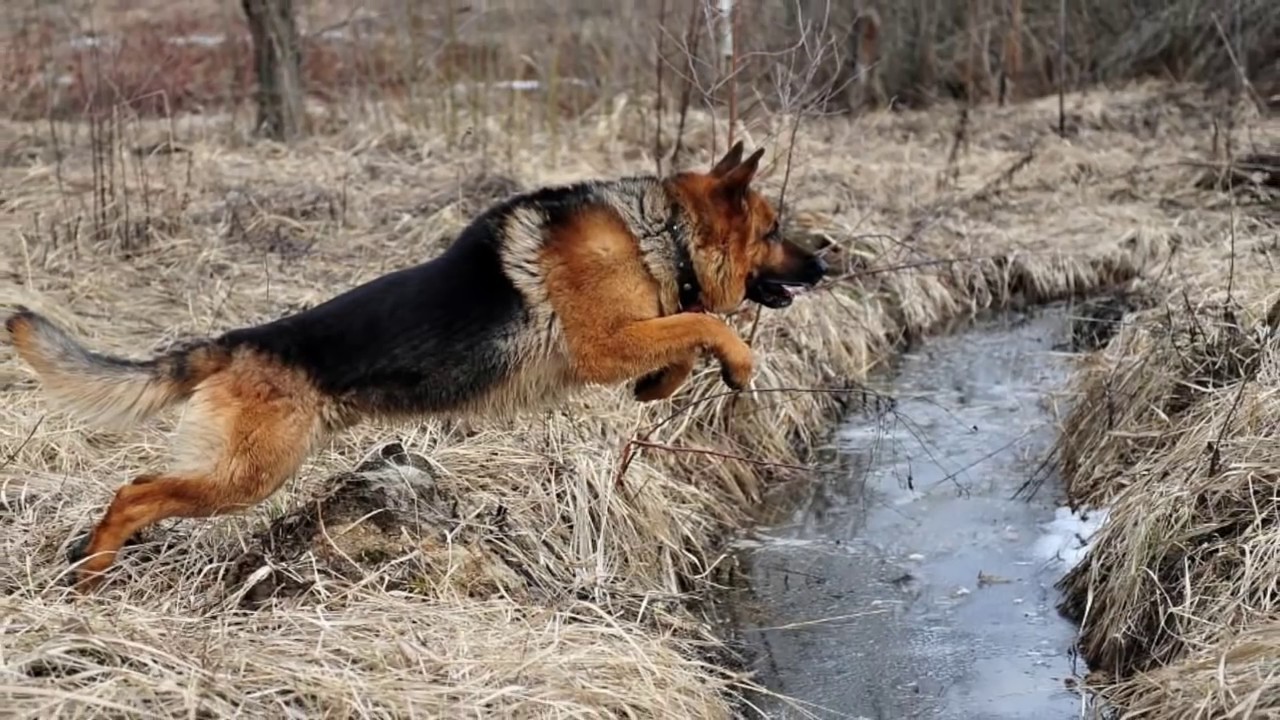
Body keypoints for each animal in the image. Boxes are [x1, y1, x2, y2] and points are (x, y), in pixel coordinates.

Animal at [5, 141, 824, 589]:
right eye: (774, 230)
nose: (828, 264)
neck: (661, 233)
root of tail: (238, 340)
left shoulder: (626, 336)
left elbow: (683, 336)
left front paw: (661, 383)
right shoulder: (603, 344)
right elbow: (706, 320)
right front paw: (736, 364)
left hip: (238, 470)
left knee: (140, 487)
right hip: (246, 475)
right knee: (133, 493)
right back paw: (90, 578)